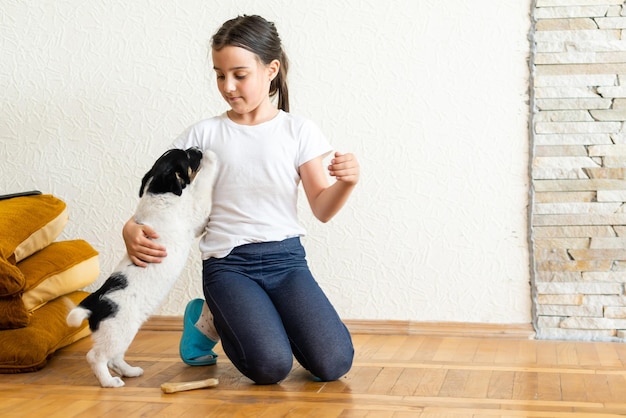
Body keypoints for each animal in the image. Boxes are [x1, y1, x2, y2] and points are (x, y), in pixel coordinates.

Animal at [66, 148, 216, 388]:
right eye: (187, 156)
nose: (196, 148)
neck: (158, 192)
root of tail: (95, 303)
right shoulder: (196, 216)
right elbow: (203, 186)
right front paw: (211, 157)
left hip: (124, 332)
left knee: (114, 358)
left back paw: (130, 371)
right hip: (118, 331)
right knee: (96, 357)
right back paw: (109, 382)